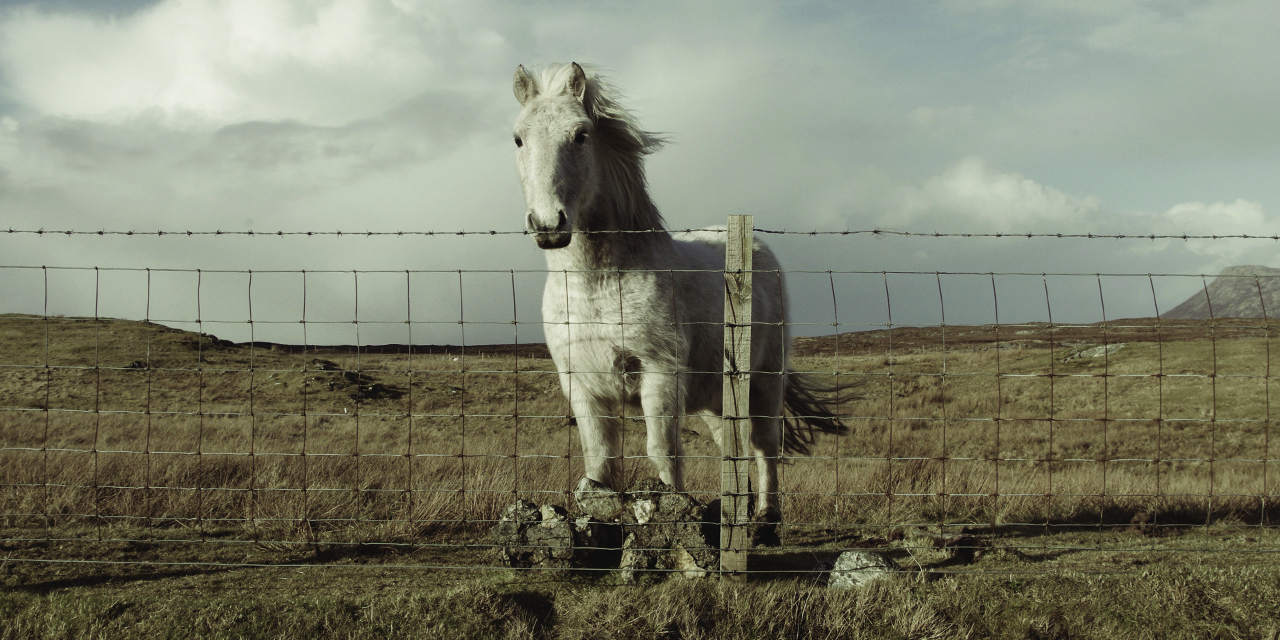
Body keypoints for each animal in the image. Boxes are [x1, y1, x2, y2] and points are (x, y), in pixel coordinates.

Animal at [509, 62, 849, 540]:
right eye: (519, 138)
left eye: (580, 135)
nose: (548, 225)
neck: (596, 288)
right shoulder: (582, 386)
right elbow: (599, 463)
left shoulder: (660, 376)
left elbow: (663, 452)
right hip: (715, 398)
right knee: (732, 446)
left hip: (764, 381)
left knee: (765, 446)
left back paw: (766, 520)